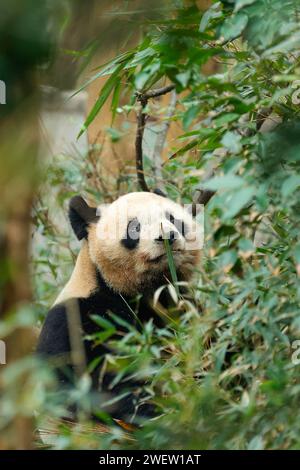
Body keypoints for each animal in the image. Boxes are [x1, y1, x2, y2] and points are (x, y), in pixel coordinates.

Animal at [37, 191, 202, 422]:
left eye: (172, 218)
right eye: (134, 227)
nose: (167, 237)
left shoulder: (179, 306)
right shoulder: (74, 317)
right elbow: (72, 383)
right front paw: (152, 405)